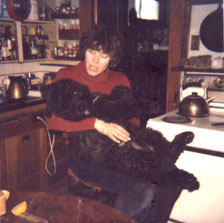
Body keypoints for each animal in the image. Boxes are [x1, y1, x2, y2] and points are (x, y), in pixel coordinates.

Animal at [42, 79, 200, 192]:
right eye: (62, 103)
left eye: (75, 93)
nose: (80, 109)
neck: (91, 105)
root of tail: (150, 152)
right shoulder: (112, 109)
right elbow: (129, 105)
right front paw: (152, 104)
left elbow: (122, 97)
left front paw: (121, 90)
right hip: (138, 166)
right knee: (163, 175)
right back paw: (190, 180)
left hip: (149, 135)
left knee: (170, 152)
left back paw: (186, 137)